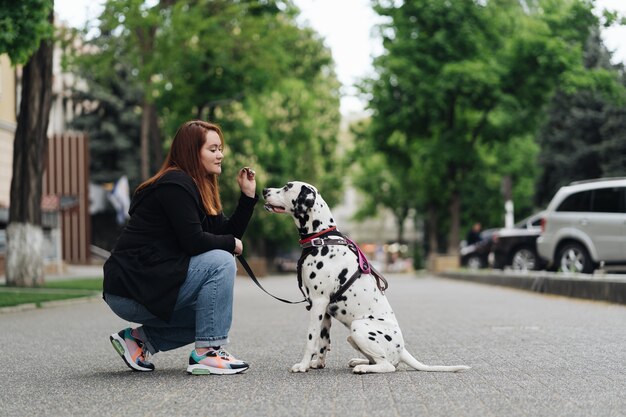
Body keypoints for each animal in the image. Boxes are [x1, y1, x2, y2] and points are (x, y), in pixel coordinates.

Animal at [260, 180, 468, 372]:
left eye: (287, 187)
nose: (264, 190)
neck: (322, 238)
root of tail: (402, 350)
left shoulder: (318, 302)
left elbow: (311, 339)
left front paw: (302, 365)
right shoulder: (324, 310)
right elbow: (323, 342)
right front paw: (317, 364)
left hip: (359, 327)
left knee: (388, 365)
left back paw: (363, 368)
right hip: (352, 336)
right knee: (381, 360)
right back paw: (359, 362)